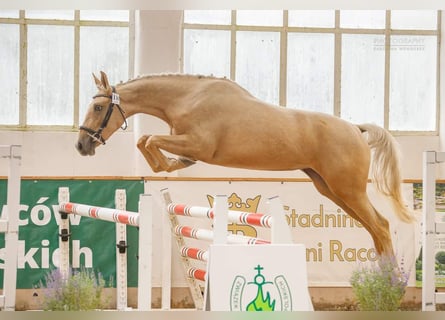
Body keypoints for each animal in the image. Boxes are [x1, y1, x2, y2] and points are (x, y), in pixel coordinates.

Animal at [76, 71, 412, 258]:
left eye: (98, 107)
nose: (81, 146)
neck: (188, 98)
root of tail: (356, 129)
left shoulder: (197, 144)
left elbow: (147, 140)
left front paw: (164, 164)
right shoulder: (189, 145)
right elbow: (149, 144)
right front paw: (168, 165)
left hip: (348, 190)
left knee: (381, 227)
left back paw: (390, 287)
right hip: (330, 189)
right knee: (374, 229)